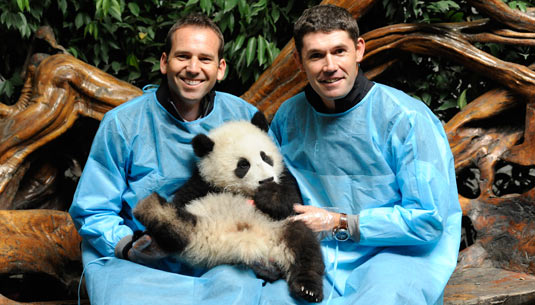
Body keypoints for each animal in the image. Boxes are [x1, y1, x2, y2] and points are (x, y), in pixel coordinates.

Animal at [134, 111, 326, 302]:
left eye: (265, 157)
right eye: (243, 164)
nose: (267, 180)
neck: (243, 191)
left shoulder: (284, 179)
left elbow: (293, 202)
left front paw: (268, 194)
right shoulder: (201, 184)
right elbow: (182, 199)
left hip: (279, 229)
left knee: (305, 247)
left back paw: (307, 289)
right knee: (177, 227)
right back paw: (149, 231)